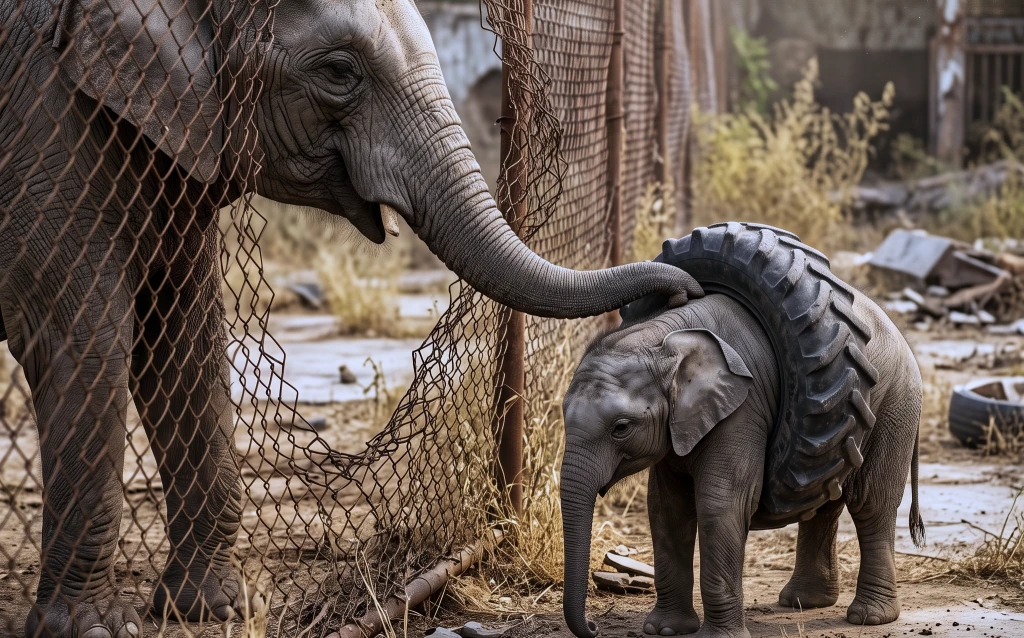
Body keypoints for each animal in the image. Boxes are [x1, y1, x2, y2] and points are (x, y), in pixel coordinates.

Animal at [0, 1, 705, 636]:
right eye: (339, 72)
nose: (681, 289)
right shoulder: (45, 124)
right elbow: (87, 335)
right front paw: (94, 630)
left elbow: (181, 334)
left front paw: (222, 610)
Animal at [559, 293, 923, 638]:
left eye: (621, 427)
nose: (593, 626)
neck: (663, 337)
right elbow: (667, 508)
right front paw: (665, 630)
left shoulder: (743, 406)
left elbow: (720, 504)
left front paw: (716, 636)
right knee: (825, 498)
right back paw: (803, 602)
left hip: (896, 400)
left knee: (870, 502)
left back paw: (870, 617)